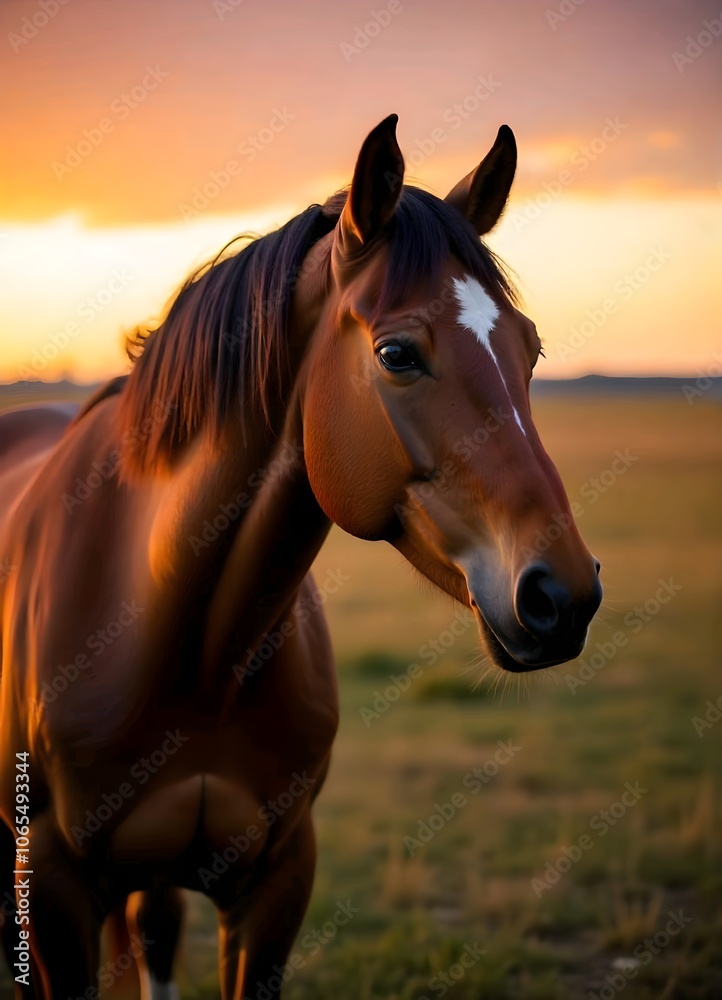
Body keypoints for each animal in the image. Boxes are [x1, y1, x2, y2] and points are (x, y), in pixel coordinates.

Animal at [0, 115, 602, 999]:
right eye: (397, 354)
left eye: (529, 350)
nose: (564, 594)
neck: (191, 654)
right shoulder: (51, 890)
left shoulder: (277, 882)